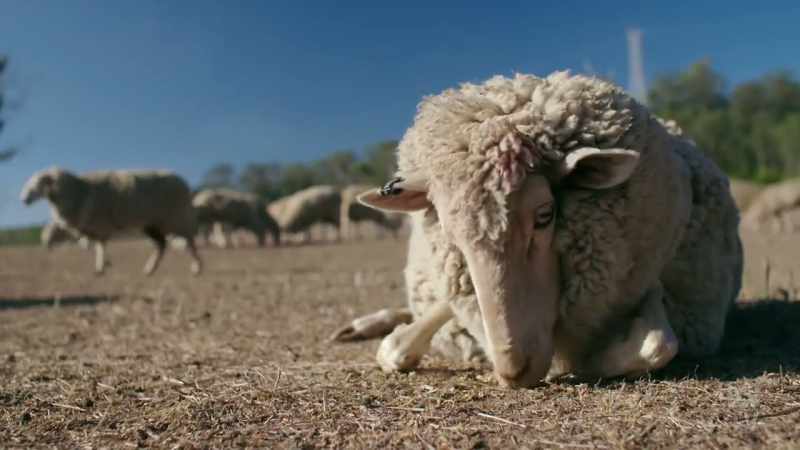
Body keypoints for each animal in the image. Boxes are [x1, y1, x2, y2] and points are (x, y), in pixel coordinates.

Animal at [21, 167, 202, 275]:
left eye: (36, 185)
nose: (23, 200)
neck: (77, 189)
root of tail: (182, 180)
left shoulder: (100, 224)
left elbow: (100, 245)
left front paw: (101, 267)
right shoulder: (94, 227)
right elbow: (96, 245)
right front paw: (105, 263)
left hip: (176, 217)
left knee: (190, 240)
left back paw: (197, 266)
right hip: (152, 223)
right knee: (161, 244)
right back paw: (149, 269)